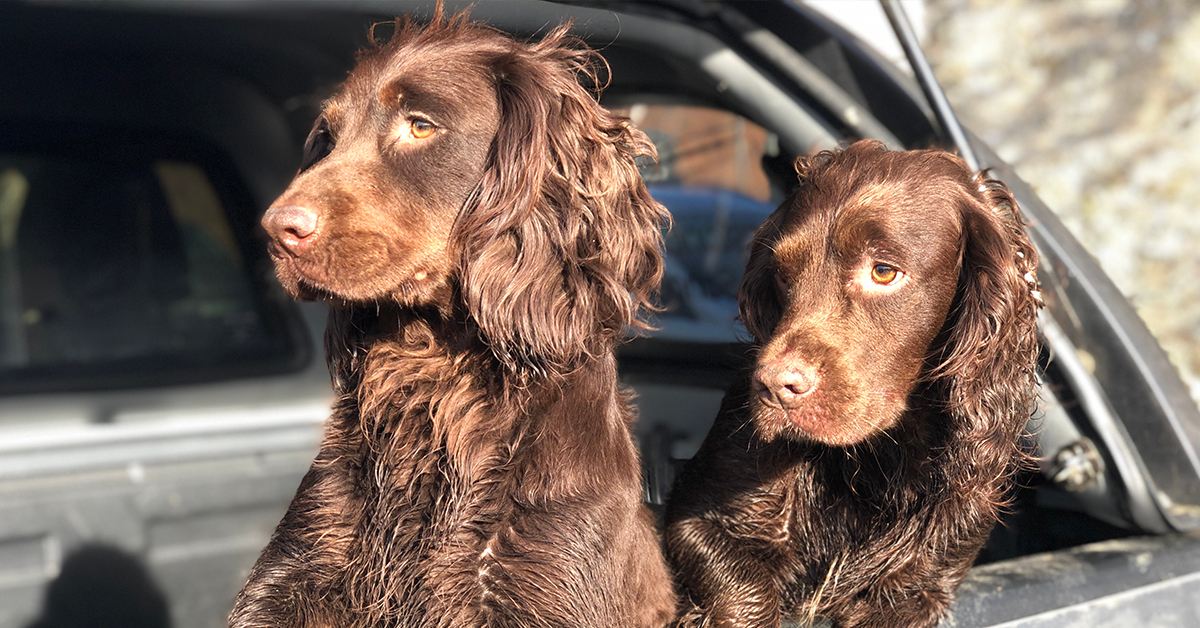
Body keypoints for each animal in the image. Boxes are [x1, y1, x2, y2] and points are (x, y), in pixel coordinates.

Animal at [667, 141, 1041, 628]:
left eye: (883, 271)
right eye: (783, 273)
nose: (773, 387)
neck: (876, 462)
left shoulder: (924, 583)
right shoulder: (696, 520)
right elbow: (748, 592)